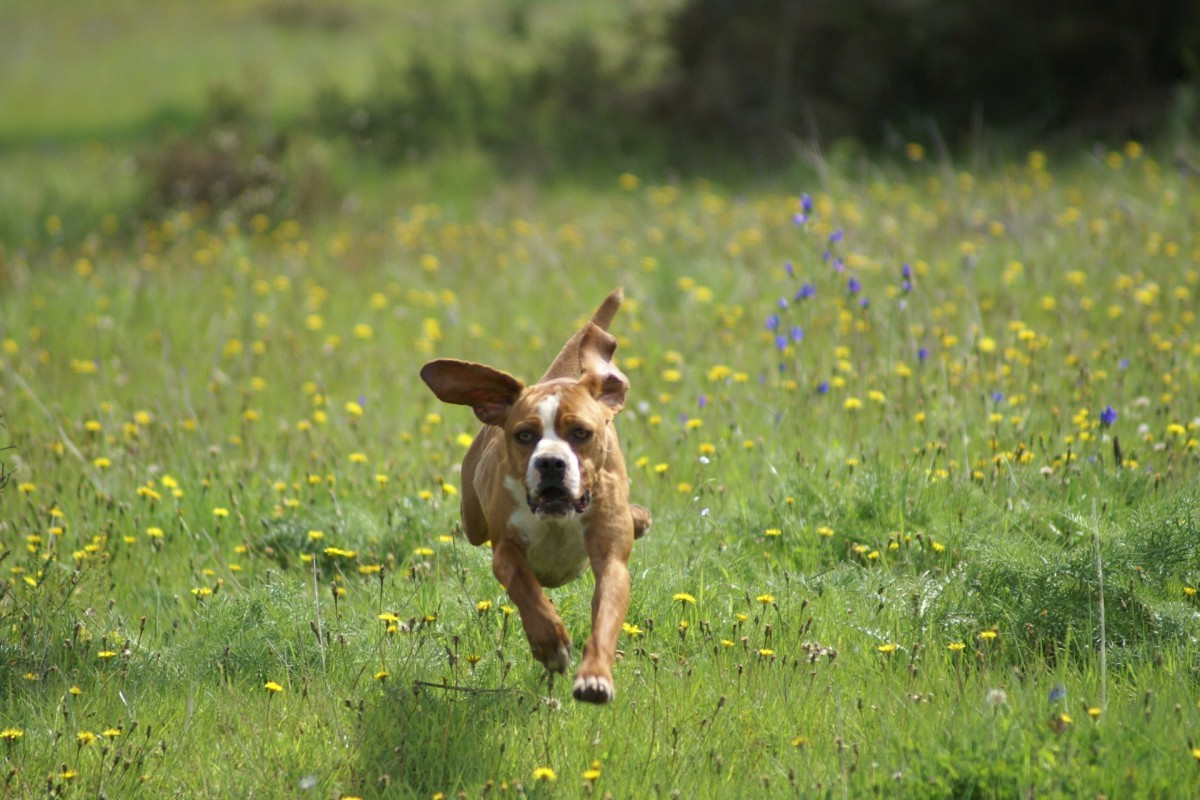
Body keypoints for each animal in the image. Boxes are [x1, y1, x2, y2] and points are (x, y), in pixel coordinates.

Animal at [420, 288, 650, 703]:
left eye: (581, 433)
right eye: (524, 435)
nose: (551, 463)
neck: (557, 518)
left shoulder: (610, 559)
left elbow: (606, 617)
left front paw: (594, 676)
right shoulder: (505, 550)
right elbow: (525, 588)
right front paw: (550, 644)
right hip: (473, 521)